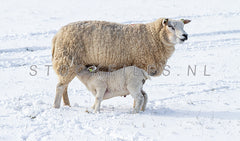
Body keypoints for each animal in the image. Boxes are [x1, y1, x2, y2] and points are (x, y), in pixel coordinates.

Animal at [52, 17, 191, 108]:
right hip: (68, 61)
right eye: (171, 26)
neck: (153, 37)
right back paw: (57, 106)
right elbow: (138, 92)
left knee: (64, 86)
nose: (185, 36)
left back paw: (67, 105)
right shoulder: (139, 64)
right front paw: (136, 107)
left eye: (183, 26)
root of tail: (58, 34)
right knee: (60, 87)